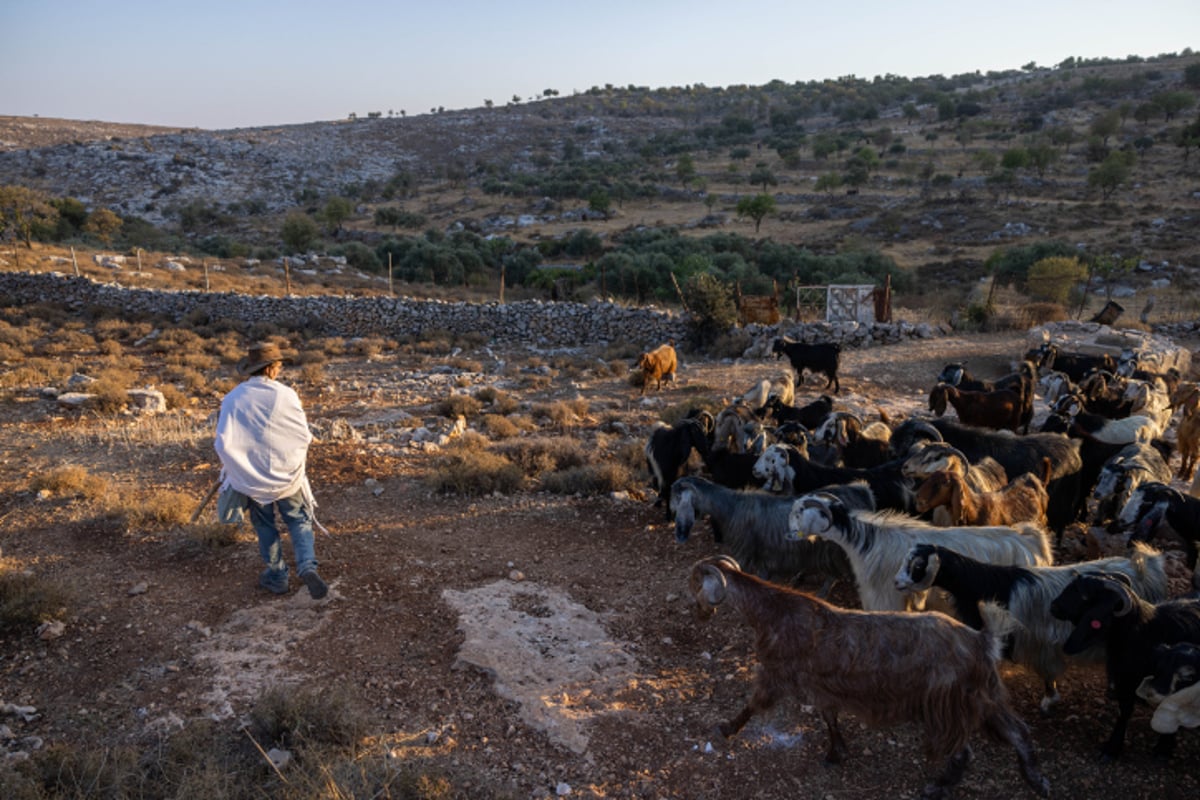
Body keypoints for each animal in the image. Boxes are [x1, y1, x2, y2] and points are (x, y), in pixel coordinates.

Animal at [691, 556, 1046, 800]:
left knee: (964, 751)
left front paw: (725, 729)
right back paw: (1036, 779)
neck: (773, 611)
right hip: (984, 695)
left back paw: (937, 787)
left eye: (697, 585)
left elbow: (753, 705)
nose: (699, 613)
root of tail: (982, 640)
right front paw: (836, 753)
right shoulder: (822, 685)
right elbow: (829, 717)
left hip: (948, 703)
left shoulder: (776, 673)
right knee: (1017, 731)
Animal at [897, 542, 1166, 710]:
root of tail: (1145, 569)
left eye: (918, 565)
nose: (897, 582)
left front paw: (1049, 700)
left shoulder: (1032, 642)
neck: (983, 585)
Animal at [1046, 578, 1200, 762]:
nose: (1053, 606)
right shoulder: (1124, 681)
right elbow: (1124, 712)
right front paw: (1112, 747)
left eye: (1083, 594)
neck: (1143, 633)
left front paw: (1163, 749)